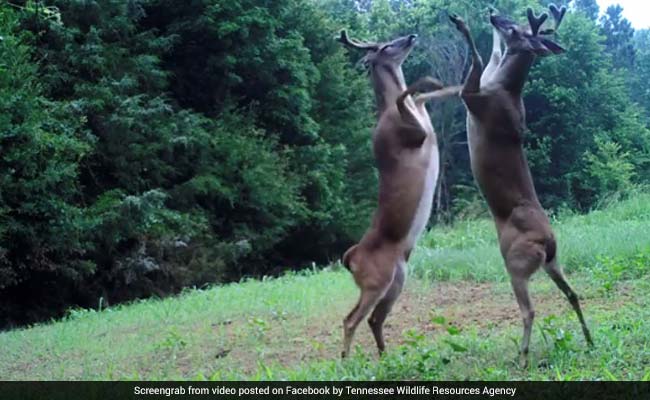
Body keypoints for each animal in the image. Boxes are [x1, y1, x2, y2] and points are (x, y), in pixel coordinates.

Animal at [336, 29, 458, 358]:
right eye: (386, 46)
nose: (412, 35)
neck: (385, 111)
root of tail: (350, 258)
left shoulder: (424, 121)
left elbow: (420, 96)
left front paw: (451, 85)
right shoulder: (412, 134)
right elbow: (408, 95)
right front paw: (431, 79)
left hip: (397, 280)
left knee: (373, 319)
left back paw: (385, 355)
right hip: (375, 281)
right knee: (350, 319)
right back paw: (346, 360)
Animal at [446, 5, 592, 368]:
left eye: (515, 29)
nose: (494, 13)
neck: (503, 89)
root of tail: (548, 241)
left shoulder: (471, 96)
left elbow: (477, 57)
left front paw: (462, 23)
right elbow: (490, 55)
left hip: (516, 263)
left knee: (529, 310)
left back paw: (523, 356)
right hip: (554, 262)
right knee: (573, 294)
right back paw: (589, 340)